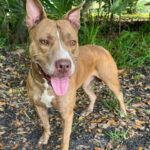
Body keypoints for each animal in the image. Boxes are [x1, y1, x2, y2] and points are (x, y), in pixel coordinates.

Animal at [26, 0, 126, 149]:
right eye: (44, 41)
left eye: (73, 42)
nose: (64, 65)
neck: (47, 86)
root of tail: (103, 48)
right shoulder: (39, 107)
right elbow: (46, 124)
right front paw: (45, 137)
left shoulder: (67, 114)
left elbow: (65, 139)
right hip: (86, 85)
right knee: (93, 95)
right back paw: (88, 110)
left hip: (111, 80)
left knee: (120, 95)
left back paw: (123, 113)